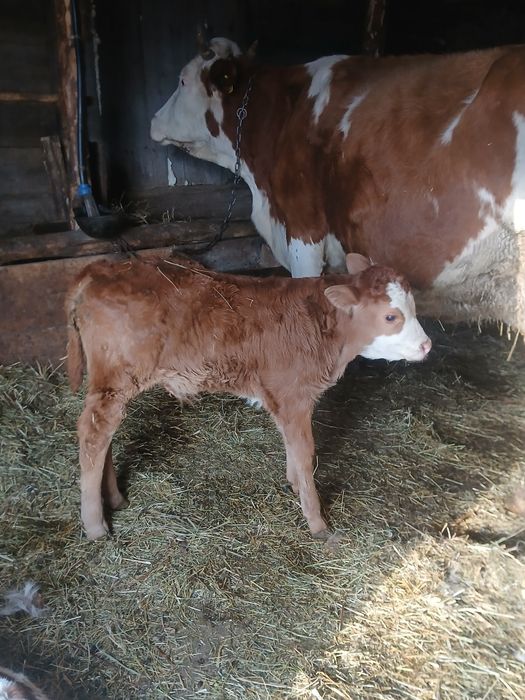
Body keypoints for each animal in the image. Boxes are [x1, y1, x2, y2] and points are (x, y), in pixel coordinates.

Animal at [66, 254, 431, 540]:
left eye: (413, 308)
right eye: (391, 316)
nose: (427, 345)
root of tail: (100, 268)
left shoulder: (283, 397)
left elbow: (291, 445)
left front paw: (293, 484)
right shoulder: (294, 395)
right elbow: (305, 451)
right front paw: (316, 521)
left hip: (109, 382)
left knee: (104, 434)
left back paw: (114, 499)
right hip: (117, 380)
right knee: (94, 433)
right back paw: (95, 525)